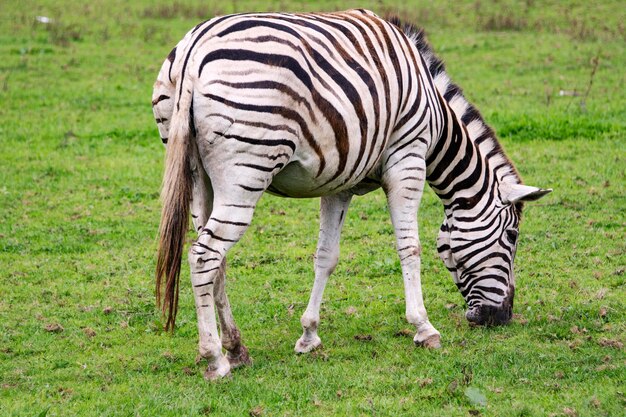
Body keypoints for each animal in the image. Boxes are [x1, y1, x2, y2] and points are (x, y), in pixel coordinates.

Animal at [152, 8, 552, 380]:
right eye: (512, 236)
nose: (501, 318)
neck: (436, 120)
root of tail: (193, 50)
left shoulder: (339, 182)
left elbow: (326, 257)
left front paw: (309, 336)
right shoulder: (407, 158)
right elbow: (410, 247)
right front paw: (424, 328)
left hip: (197, 175)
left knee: (215, 259)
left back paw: (236, 348)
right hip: (246, 171)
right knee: (204, 256)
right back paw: (215, 358)